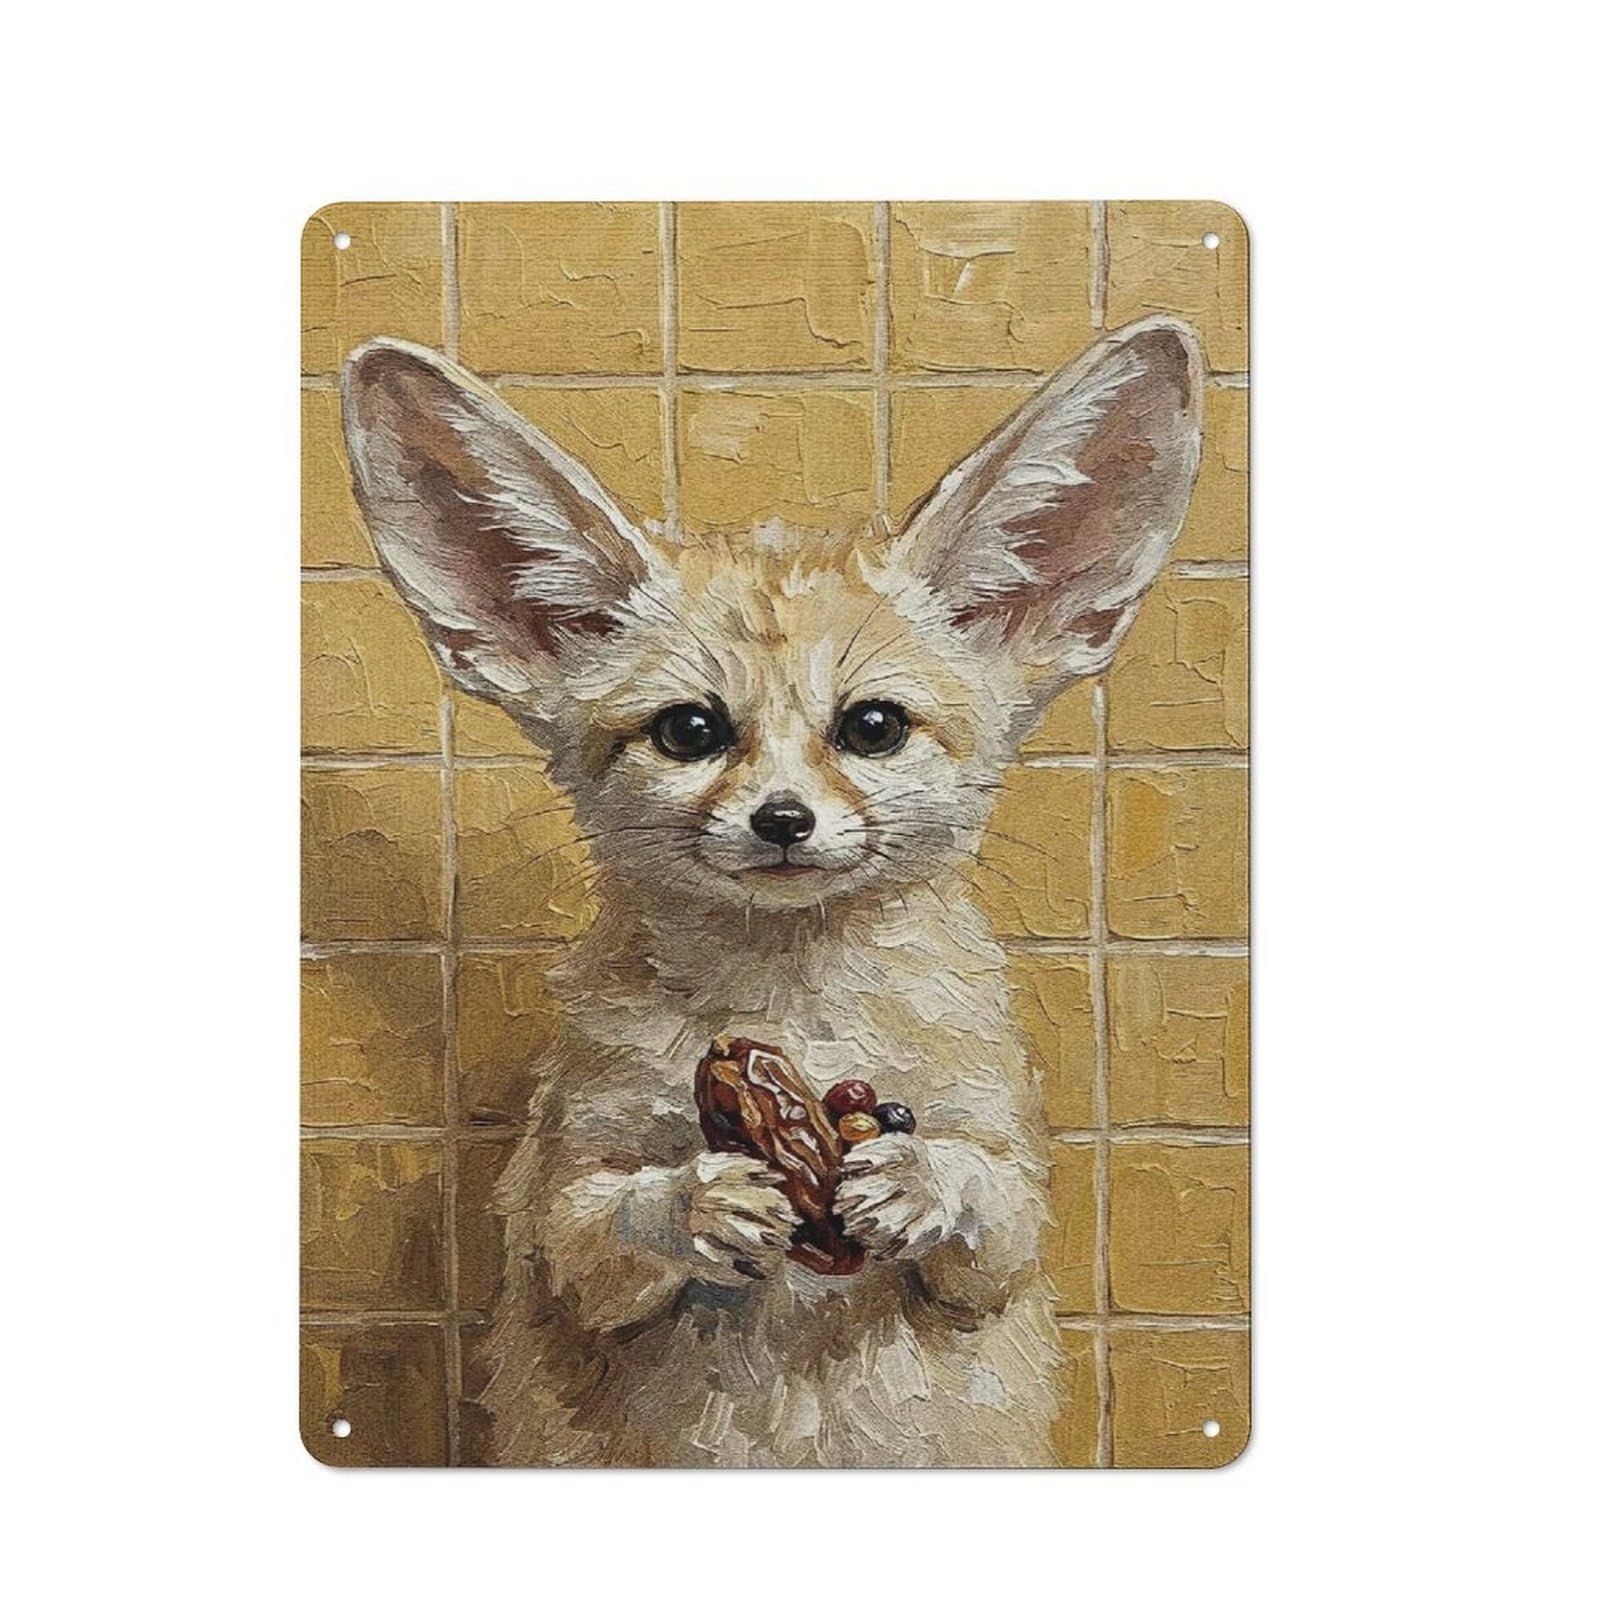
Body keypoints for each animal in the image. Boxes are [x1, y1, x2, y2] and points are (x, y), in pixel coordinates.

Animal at [340, 314, 1204, 1466]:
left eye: (872, 727)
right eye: (689, 731)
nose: (783, 820)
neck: (789, 1008)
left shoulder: (1006, 1182)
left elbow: (995, 1211)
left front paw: (917, 1179)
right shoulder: (566, 1190)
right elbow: (600, 1231)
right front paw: (694, 1203)